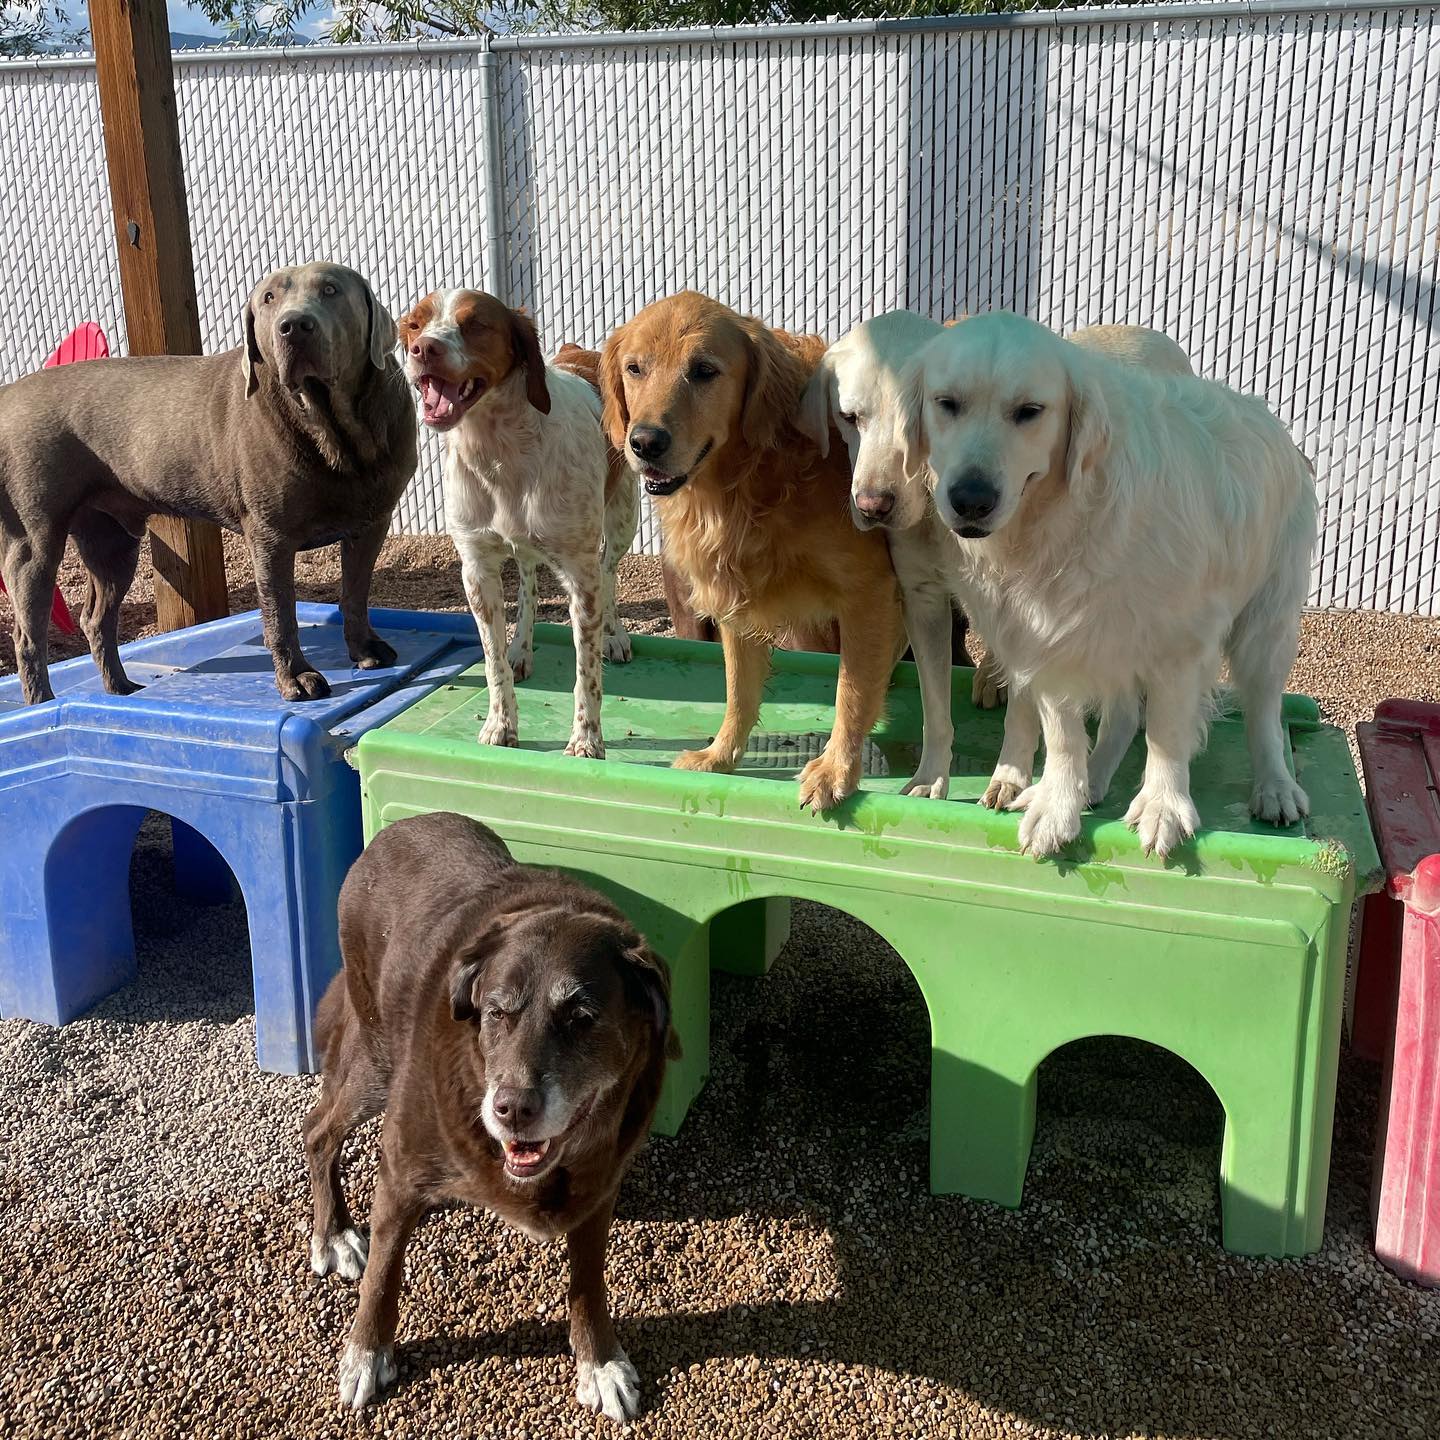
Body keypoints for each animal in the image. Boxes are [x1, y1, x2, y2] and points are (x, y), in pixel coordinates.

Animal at [601, 290, 904, 812]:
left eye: (704, 370)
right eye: (635, 368)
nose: (644, 442)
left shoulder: (869, 594)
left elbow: (852, 691)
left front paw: (835, 771)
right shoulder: (735, 599)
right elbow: (739, 690)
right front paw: (721, 755)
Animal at [800, 315, 1192, 812]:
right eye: (850, 417)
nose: (874, 505)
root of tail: (1146, 331)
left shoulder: (1029, 607)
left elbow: (1023, 712)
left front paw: (1010, 776)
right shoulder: (923, 600)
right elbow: (935, 709)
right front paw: (930, 777)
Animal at [898, 312, 1319, 852]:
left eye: (1029, 411)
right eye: (947, 403)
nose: (971, 498)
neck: (1063, 519)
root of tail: (1269, 416)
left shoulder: (1179, 642)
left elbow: (1166, 732)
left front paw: (1163, 807)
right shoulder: (1046, 638)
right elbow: (1064, 734)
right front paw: (1058, 804)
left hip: (1266, 620)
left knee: (1264, 711)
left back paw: (1275, 787)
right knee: (1122, 716)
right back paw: (1093, 781)